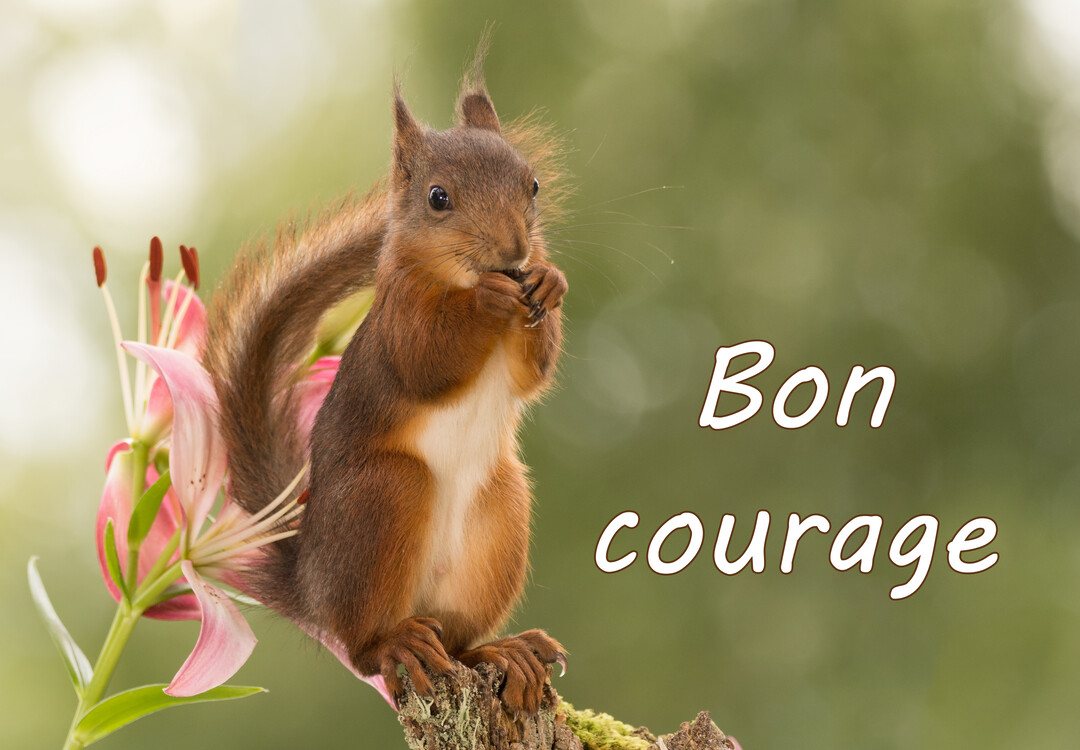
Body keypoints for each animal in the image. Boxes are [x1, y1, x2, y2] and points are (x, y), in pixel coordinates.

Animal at [203, 58, 568, 716]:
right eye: (438, 198)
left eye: (531, 185)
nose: (514, 251)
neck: (453, 278)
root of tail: (313, 586)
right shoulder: (397, 318)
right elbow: (426, 360)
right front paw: (487, 299)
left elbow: (534, 373)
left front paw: (548, 281)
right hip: (385, 495)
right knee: (364, 650)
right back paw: (397, 644)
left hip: (501, 512)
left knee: (458, 643)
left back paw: (503, 651)